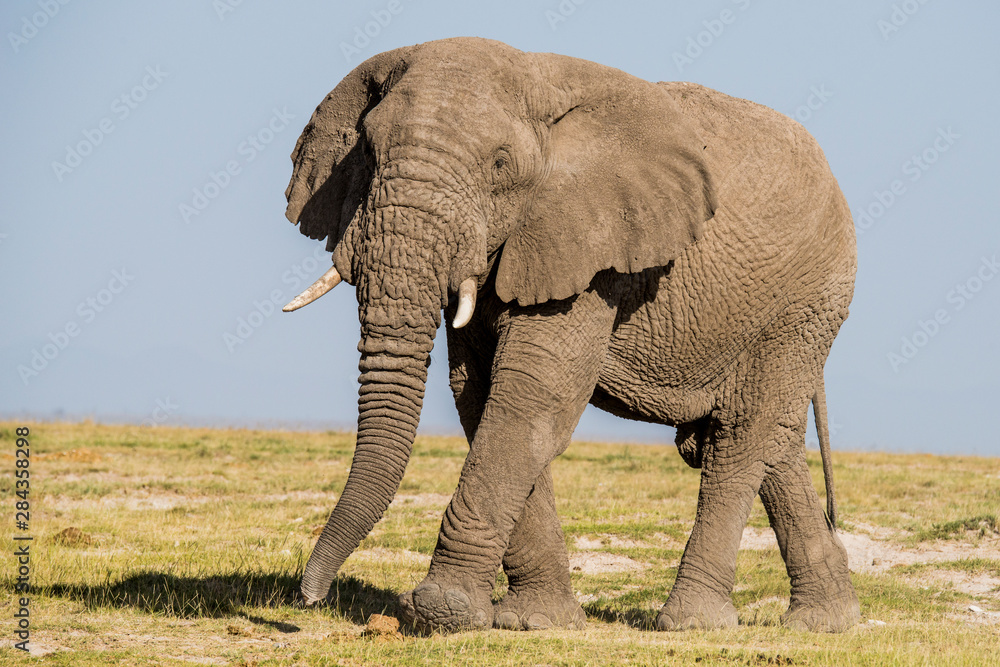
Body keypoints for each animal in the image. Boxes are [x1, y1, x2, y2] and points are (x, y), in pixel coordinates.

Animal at [280, 37, 860, 634]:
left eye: (500, 164)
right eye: (368, 153)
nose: (310, 597)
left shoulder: (593, 252)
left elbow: (531, 400)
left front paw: (442, 613)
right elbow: (479, 396)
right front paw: (533, 622)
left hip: (803, 305)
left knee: (741, 437)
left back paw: (694, 623)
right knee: (774, 441)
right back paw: (824, 622)